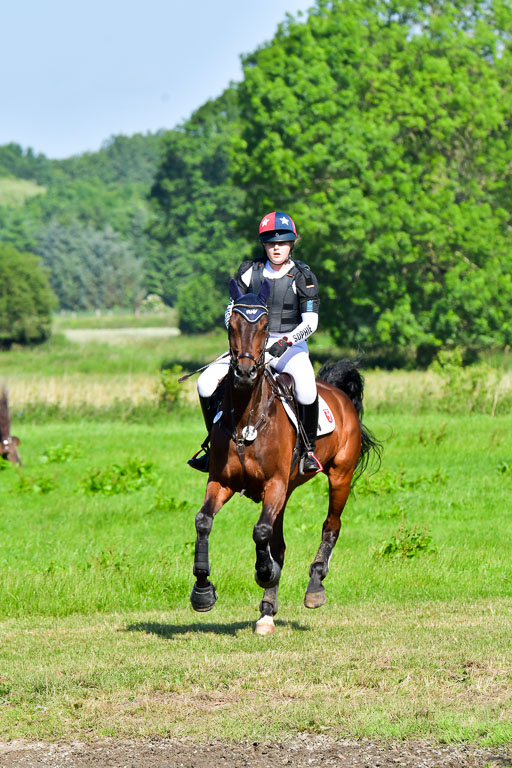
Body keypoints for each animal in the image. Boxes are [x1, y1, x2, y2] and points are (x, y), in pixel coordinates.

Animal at [190, 279, 381, 635]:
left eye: (265, 326)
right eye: (231, 324)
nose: (245, 372)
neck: (248, 417)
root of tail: (338, 392)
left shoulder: (274, 484)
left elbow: (260, 532)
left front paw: (264, 572)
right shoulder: (222, 482)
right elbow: (204, 522)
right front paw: (202, 592)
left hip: (340, 477)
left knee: (331, 526)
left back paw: (315, 586)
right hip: (288, 489)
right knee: (279, 541)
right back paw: (267, 612)